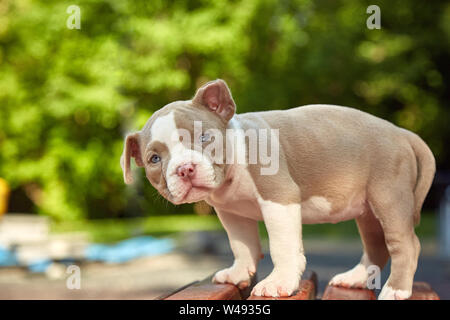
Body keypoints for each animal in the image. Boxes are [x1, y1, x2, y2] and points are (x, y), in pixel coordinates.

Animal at [121, 79, 434, 300]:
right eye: (154, 159)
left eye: (204, 137)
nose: (185, 168)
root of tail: (402, 132)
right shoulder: (231, 213)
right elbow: (241, 244)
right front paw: (238, 272)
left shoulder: (279, 200)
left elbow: (282, 246)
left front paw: (278, 282)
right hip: (367, 211)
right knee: (377, 245)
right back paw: (355, 279)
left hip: (389, 198)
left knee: (405, 244)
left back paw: (396, 290)